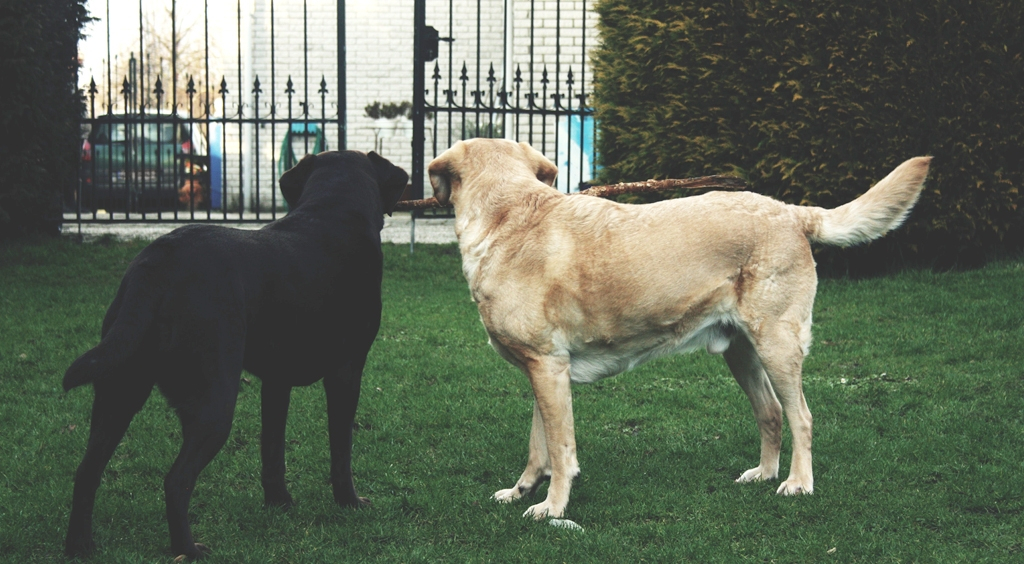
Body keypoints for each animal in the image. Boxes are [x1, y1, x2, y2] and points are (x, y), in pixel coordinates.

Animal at [61, 151, 407, 560]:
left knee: (87, 471)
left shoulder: (276, 380)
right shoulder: (346, 371)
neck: (333, 209)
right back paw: (188, 550)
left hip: (119, 388)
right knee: (176, 480)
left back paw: (80, 547)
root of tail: (158, 261)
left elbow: (272, 448)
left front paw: (279, 503)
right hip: (214, 401)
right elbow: (341, 449)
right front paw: (349, 503)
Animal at [428, 140, 933, 519]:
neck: (508, 216)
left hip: (777, 346)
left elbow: (561, 450)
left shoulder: (548, 368)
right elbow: (539, 448)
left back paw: (797, 483)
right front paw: (521, 492)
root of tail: (791, 211)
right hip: (741, 352)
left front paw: (553, 509)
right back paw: (763, 473)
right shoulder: (544, 371)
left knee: (801, 416)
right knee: (770, 413)